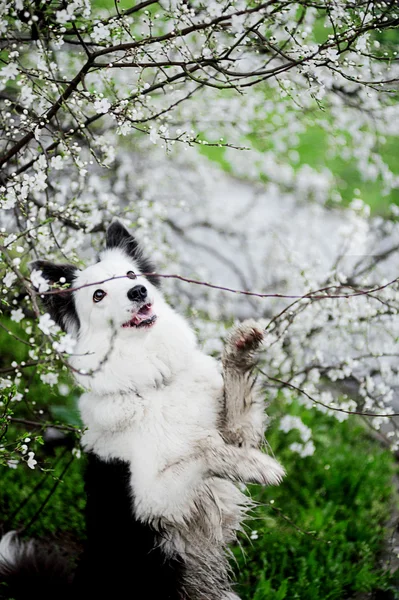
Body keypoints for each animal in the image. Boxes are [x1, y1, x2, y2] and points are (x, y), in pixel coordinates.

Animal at [0, 223, 284, 596]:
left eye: (131, 274)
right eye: (98, 295)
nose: (138, 291)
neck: (154, 382)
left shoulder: (239, 432)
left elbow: (235, 406)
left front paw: (240, 349)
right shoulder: (155, 501)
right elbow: (202, 454)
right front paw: (259, 467)